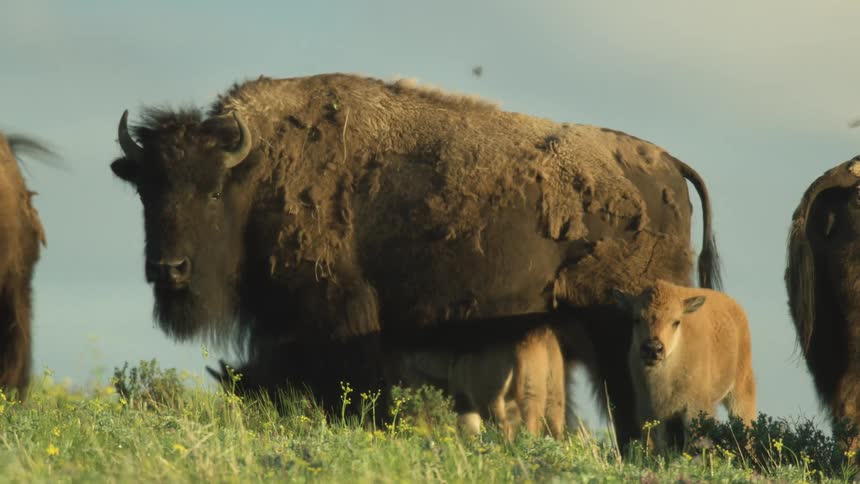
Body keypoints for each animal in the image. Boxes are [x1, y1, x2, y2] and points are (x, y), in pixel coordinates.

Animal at [110, 73, 721, 444]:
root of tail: (668, 164)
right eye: (147, 190)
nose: (169, 269)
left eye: (213, 191)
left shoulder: (343, 321)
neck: (260, 172)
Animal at [613, 279, 756, 450]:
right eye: (636, 319)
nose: (653, 348)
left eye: (676, 321)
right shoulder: (648, 410)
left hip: (741, 391)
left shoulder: (695, 408)